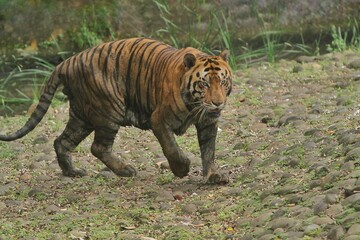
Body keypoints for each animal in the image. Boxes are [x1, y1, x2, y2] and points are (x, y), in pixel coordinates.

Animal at [0, 37, 232, 184]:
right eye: (204, 84)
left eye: (222, 81)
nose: (218, 103)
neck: (196, 106)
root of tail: (66, 62)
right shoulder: (159, 119)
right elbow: (171, 148)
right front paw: (182, 169)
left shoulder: (209, 122)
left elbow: (208, 151)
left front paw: (212, 176)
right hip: (109, 110)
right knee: (98, 147)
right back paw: (126, 170)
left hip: (81, 117)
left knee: (62, 141)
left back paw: (73, 172)